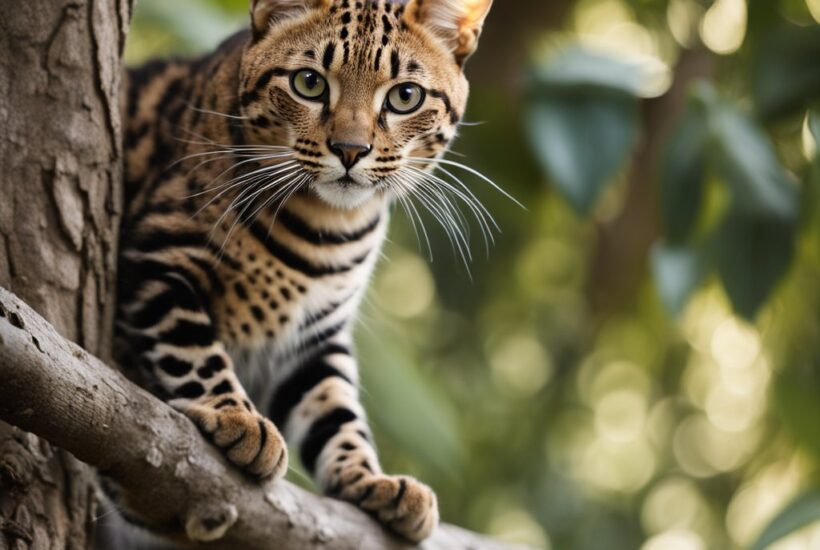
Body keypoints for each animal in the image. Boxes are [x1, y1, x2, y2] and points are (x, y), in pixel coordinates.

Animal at [117, 0, 493, 543]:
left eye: (405, 96)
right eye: (309, 83)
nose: (351, 150)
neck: (330, 227)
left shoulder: (315, 337)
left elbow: (336, 411)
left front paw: (372, 480)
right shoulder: (158, 254)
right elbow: (192, 347)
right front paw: (237, 416)